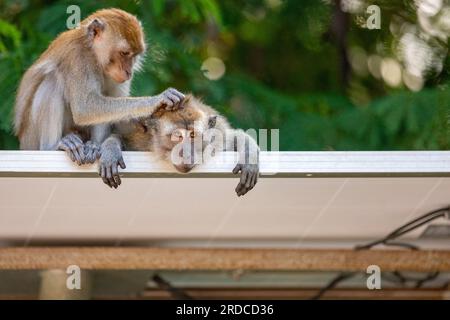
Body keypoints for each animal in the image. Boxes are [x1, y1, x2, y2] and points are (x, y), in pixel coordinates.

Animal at [14, 8, 184, 164]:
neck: (93, 54)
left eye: (134, 55)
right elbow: (84, 108)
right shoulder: (78, 57)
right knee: (52, 82)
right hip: (31, 138)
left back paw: (94, 146)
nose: (128, 72)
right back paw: (53, 146)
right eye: (124, 53)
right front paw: (156, 101)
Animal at [98, 94, 260, 196]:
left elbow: (234, 137)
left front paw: (249, 159)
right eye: (177, 136)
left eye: (193, 135)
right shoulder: (140, 140)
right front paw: (111, 151)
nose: (186, 154)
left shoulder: (218, 137)